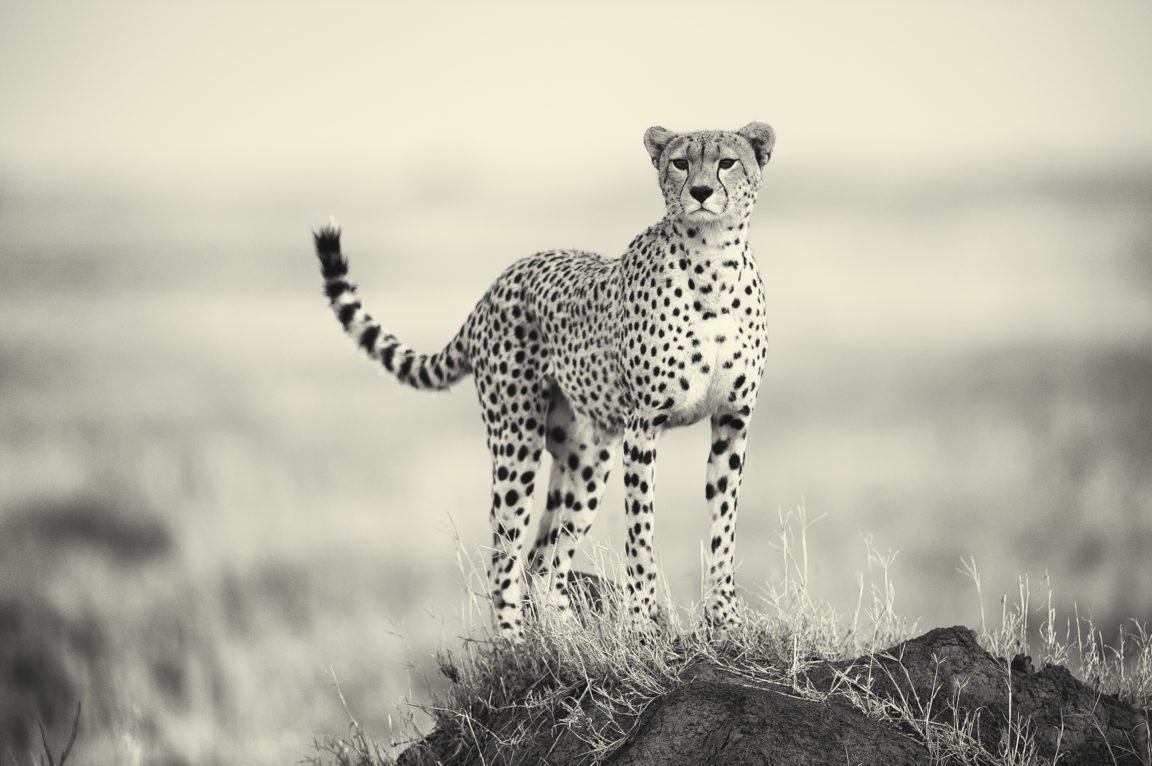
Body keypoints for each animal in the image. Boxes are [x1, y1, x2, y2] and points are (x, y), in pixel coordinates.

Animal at [315, 122, 774, 635]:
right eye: (680, 163)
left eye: (726, 162)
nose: (700, 191)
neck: (713, 262)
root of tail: (498, 283)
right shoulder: (644, 424)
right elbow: (641, 531)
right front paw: (640, 624)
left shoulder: (732, 418)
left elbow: (722, 525)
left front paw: (726, 618)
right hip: (517, 440)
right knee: (505, 558)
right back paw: (514, 643)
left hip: (587, 457)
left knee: (545, 560)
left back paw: (565, 635)